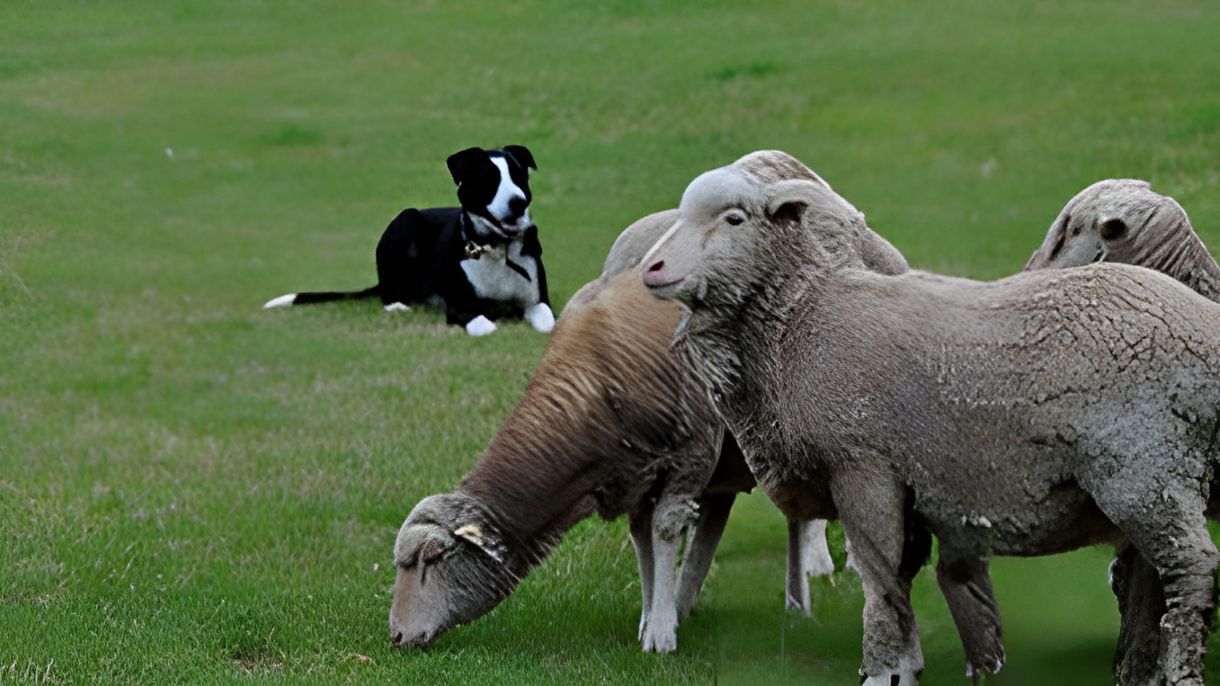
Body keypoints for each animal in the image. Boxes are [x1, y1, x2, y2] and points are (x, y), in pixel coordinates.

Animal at [390, 208, 862, 655]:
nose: (395, 636)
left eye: (433, 559)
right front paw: (652, 616)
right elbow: (642, 542)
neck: (597, 382)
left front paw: (660, 636)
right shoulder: (634, 477)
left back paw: (806, 594)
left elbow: (664, 532)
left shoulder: (689, 459)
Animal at [641, 149, 1220, 685]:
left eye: (734, 218)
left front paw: (878, 670)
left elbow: (878, 578)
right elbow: (901, 573)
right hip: (1160, 478)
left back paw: (1179, 671)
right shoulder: (908, 483)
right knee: (1155, 575)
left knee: (1191, 569)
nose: (651, 269)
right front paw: (905, 665)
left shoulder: (863, 467)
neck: (800, 321)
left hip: (1145, 469)